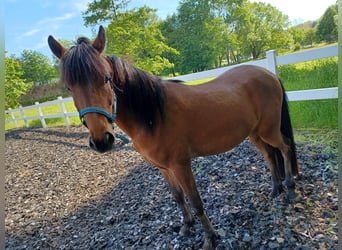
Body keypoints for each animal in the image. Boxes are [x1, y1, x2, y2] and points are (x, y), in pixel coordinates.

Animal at [48, 26, 300, 249]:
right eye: (69, 87)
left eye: (106, 78)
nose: (101, 140)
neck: (153, 115)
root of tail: (268, 73)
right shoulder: (163, 167)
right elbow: (178, 197)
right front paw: (186, 227)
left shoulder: (181, 165)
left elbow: (196, 201)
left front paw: (210, 238)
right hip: (255, 133)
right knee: (270, 155)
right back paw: (275, 189)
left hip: (268, 130)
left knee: (285, 148)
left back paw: (289, 189)